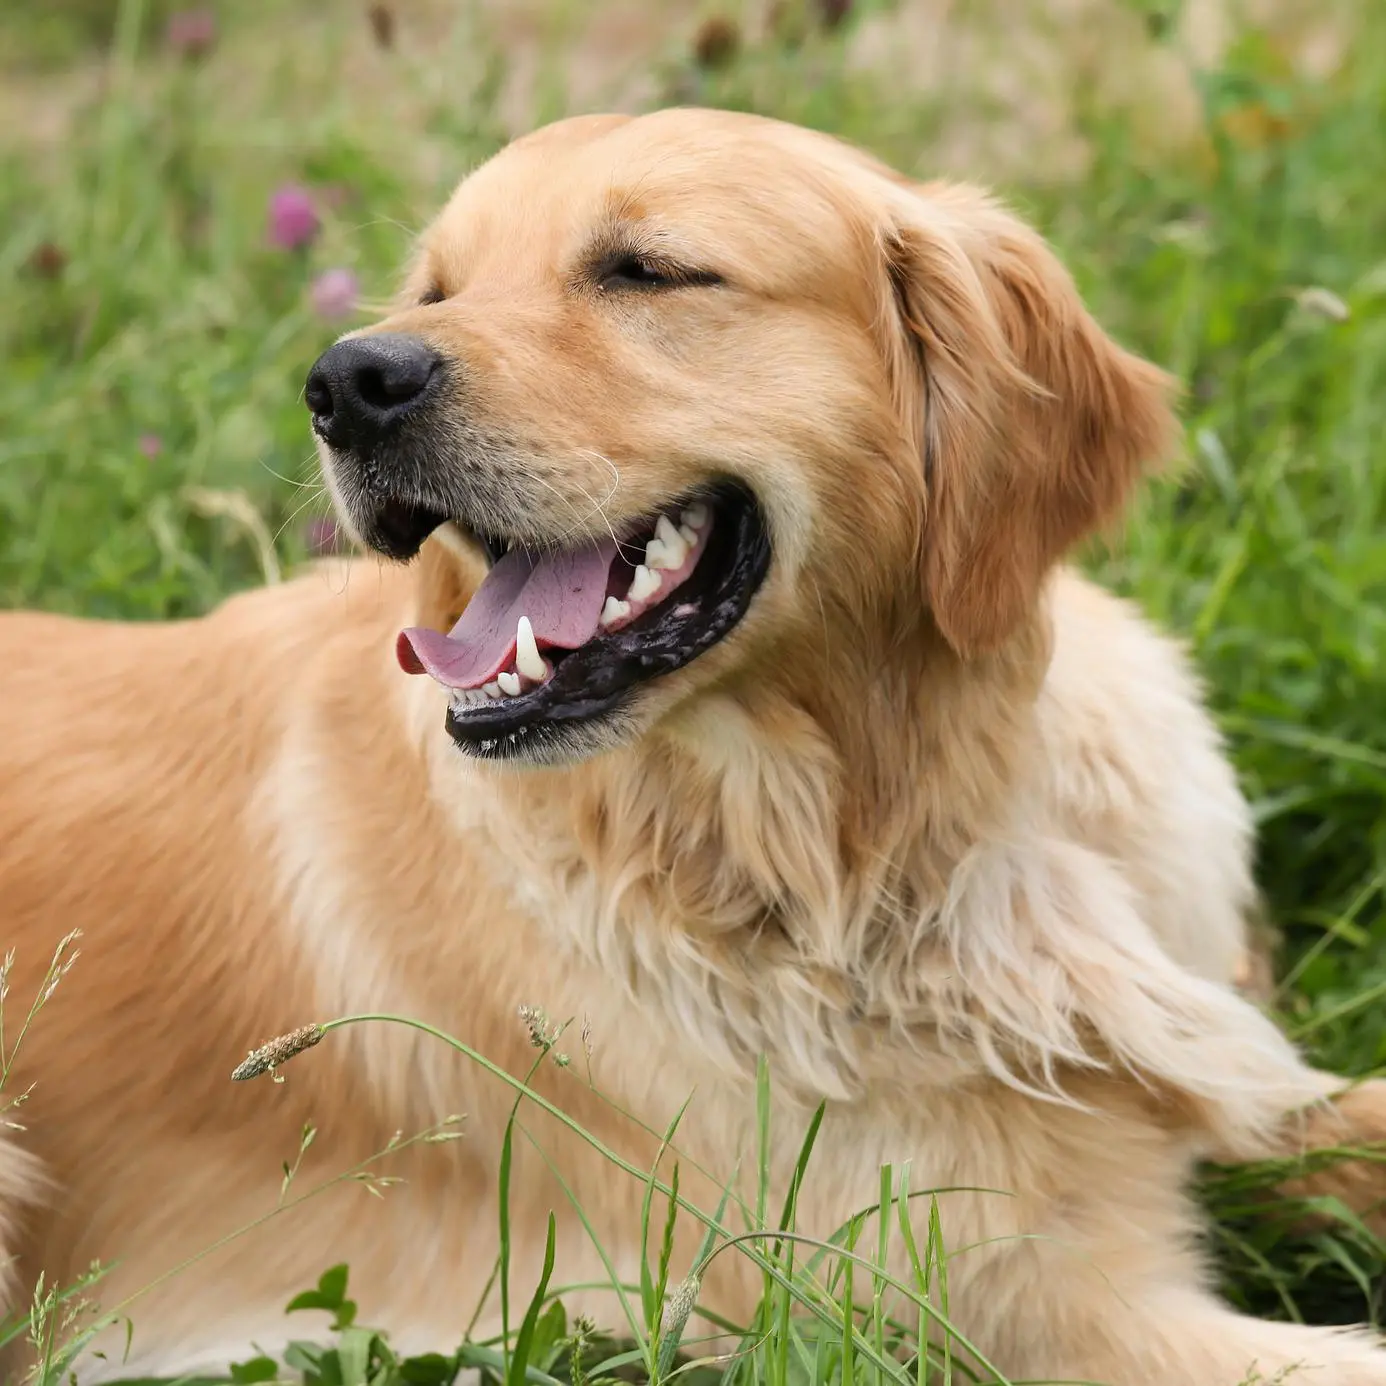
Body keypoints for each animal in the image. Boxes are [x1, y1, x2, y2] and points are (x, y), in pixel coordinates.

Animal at [2, 110, 1386, 1386]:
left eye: (648, 271)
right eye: (437, 290)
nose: (345, 382)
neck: (904, 822)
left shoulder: (1231, 1079)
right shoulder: (1024, 1303)